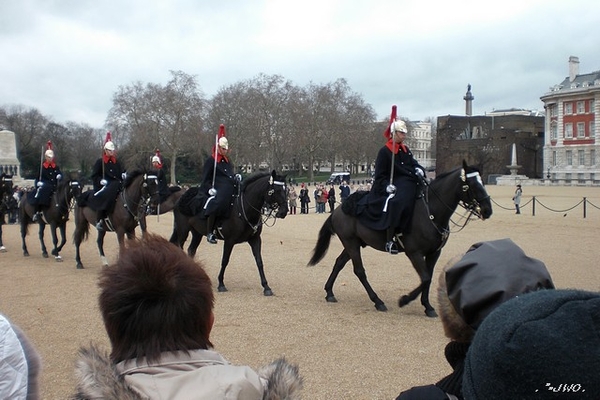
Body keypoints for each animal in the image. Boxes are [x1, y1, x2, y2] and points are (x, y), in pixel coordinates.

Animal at [310, 161, 492, 318]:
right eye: (471, 184)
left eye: (482, 182)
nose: (487, 210)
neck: (430, 212)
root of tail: (339, 208)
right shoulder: (414, 253)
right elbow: (425, 278)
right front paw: (405, 300)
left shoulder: (434, 253)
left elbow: (428, 278)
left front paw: (427, 306)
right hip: (352, 244)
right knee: (359, 271)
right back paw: (377, 301)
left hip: (354, 244)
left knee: (339, 263)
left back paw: (329, 292)